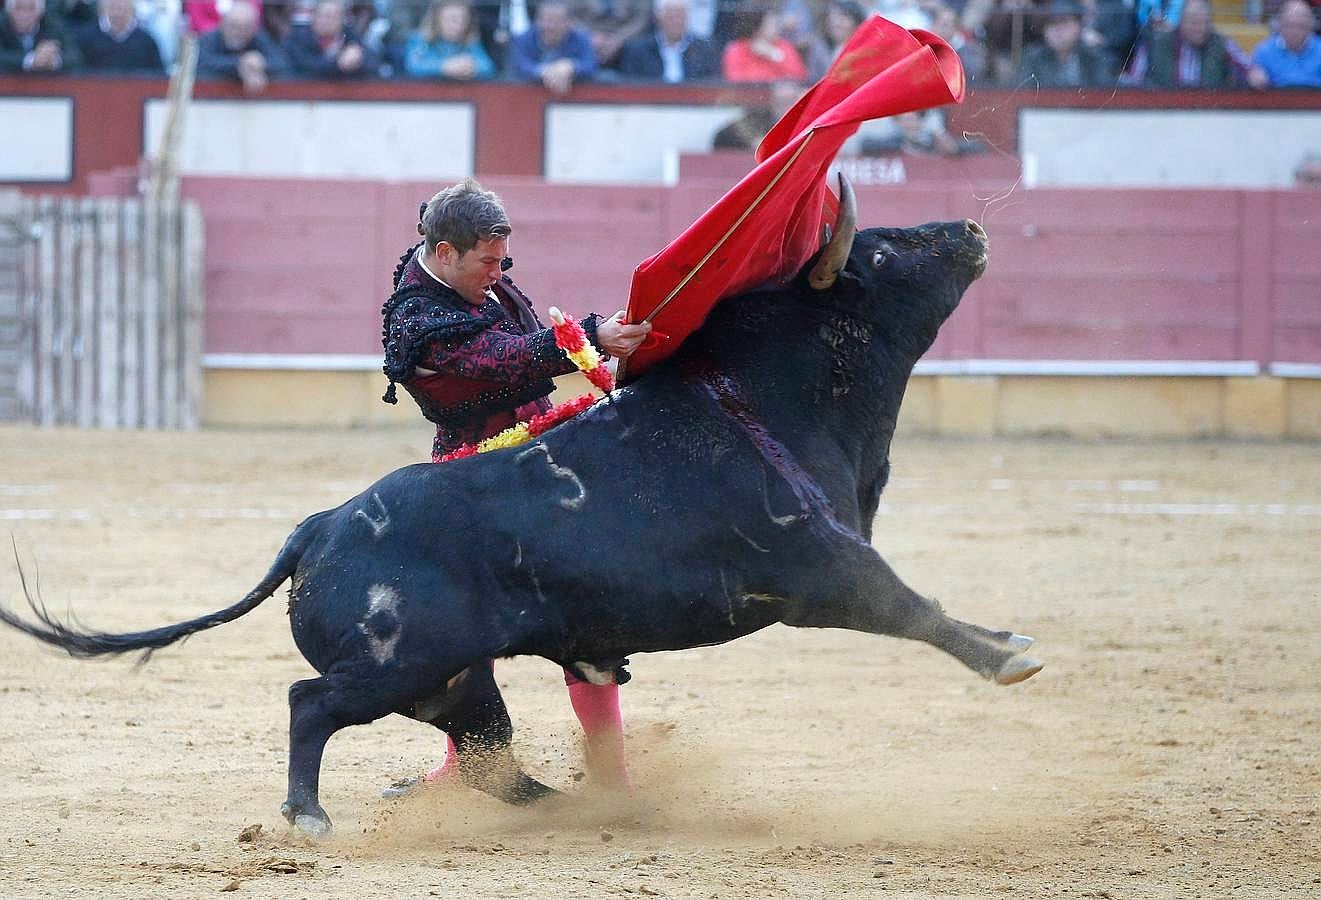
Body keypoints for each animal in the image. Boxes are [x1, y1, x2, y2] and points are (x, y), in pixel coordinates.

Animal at [0, 178, 1040, 840]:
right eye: (887, 246)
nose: (966, 227)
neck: (764, 394)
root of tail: (317, 529)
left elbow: (923, 607)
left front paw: (1007, 640)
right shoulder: (820, 570)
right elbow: (913, 608)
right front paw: (1010, 656)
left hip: (455, 681)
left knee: (489, 760)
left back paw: (598, 806)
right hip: (399, 666)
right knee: (312, 705)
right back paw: (308, 816)